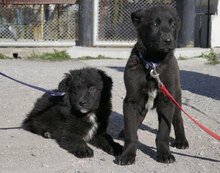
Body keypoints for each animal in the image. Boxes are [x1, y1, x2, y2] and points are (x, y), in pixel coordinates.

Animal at [118, 5, 189, 165]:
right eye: (155, 24)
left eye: (173, 25)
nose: (168, 40)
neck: (153, 64)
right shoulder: (132, 101)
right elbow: (131, 131)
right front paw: (128, 154)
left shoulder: (167, 101)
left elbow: (163, 132)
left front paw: (164, 153)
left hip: (176, 95)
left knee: (178, 119)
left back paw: (181, 141)